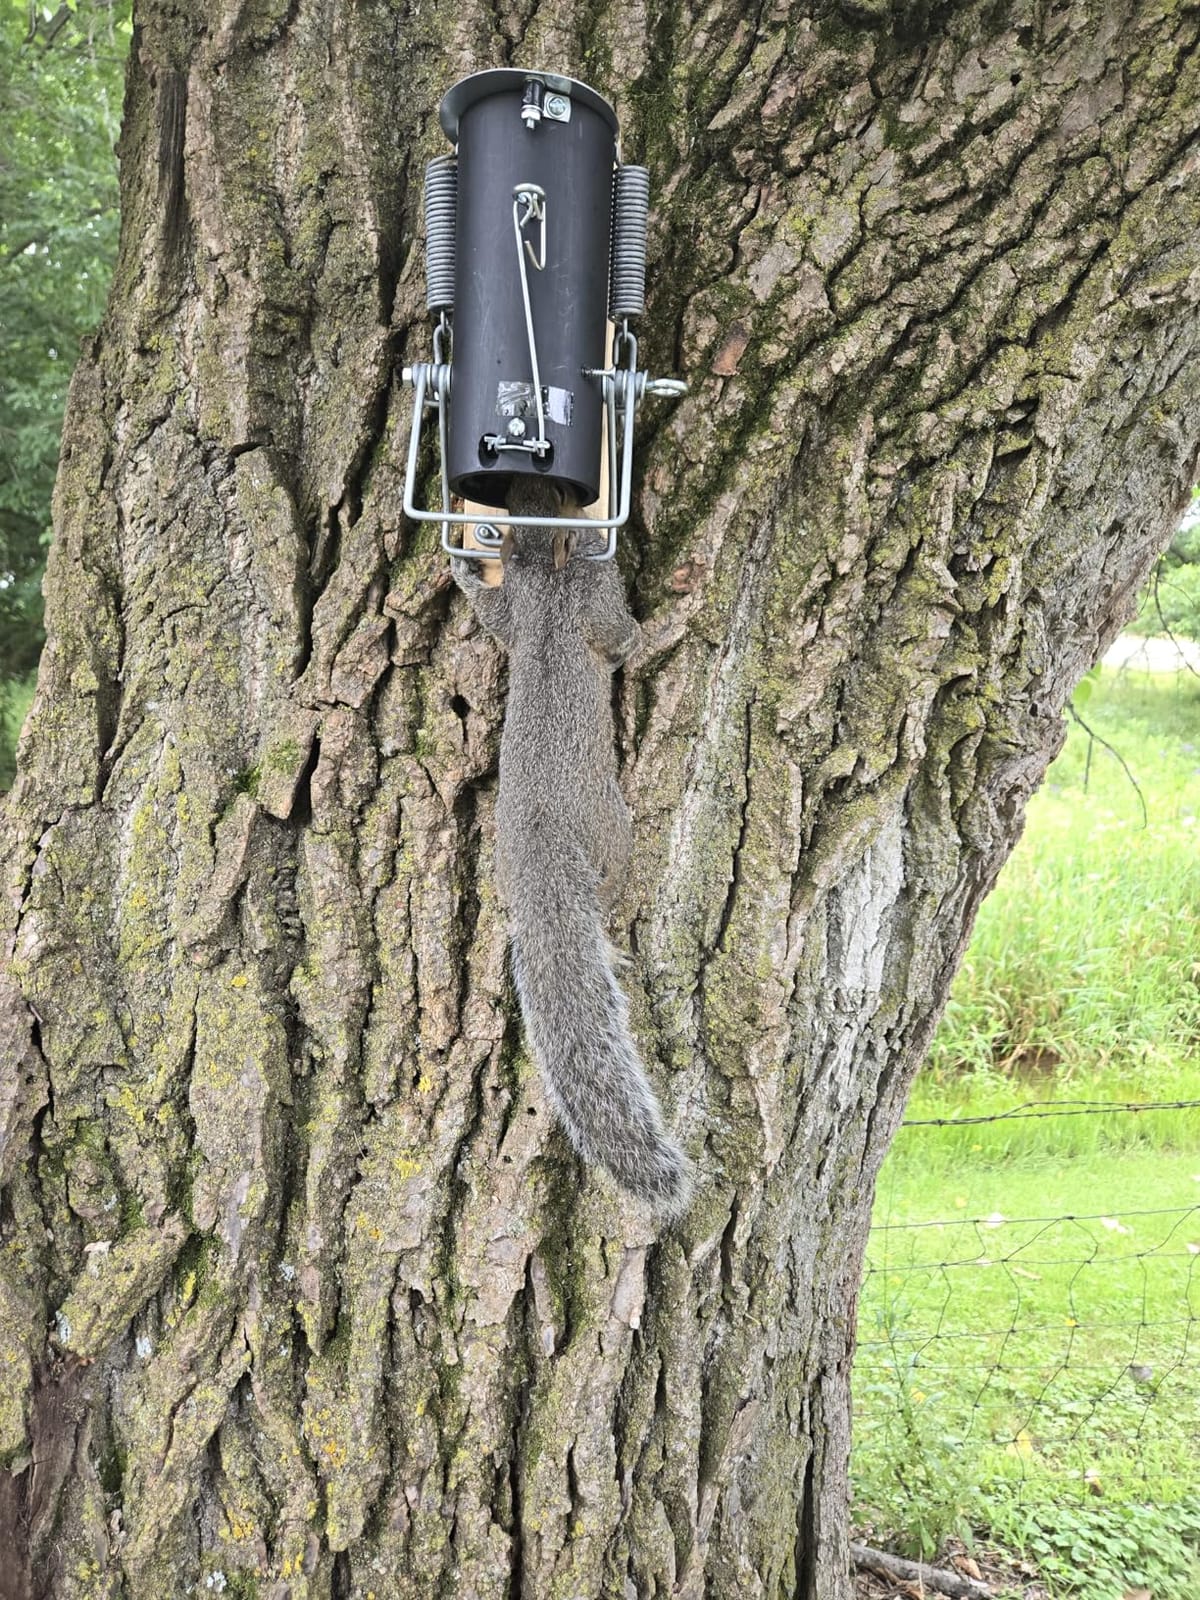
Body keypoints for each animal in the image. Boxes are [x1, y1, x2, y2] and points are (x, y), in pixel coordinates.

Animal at [451, 476, 692, 1219]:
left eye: (533, 490)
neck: (544, 571)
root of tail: (541, 856)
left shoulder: (517, 612)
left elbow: (495, 618)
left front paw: (464, 573)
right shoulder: (595, 604)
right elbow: (625, 640)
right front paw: (678, 614)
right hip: (611, 833)